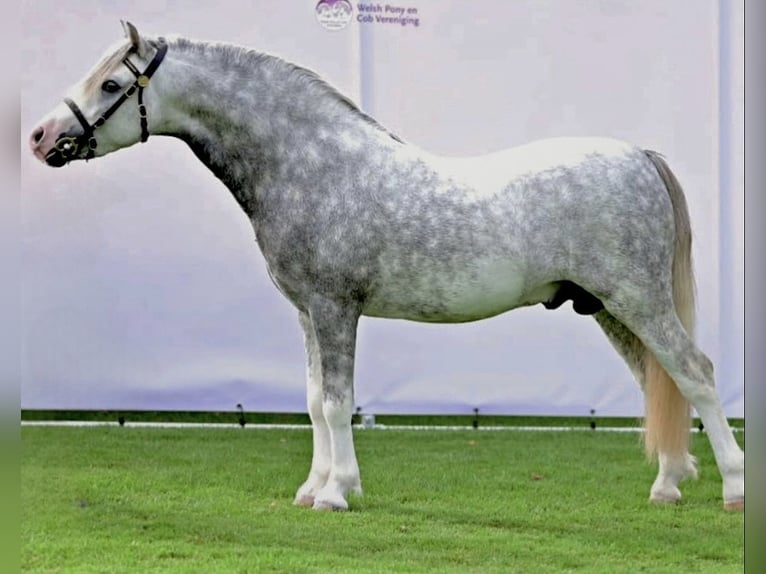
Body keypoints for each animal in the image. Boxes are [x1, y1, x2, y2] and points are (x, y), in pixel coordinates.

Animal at [28, 22, 744, 511]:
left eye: (112, 83)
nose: (39, 138)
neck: (312, 165)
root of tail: (639, 156)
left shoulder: (334, 307)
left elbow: (338, 402)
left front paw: (337, 493)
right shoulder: (307, 314)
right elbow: (314, 401)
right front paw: (313, 488)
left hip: (638, 299)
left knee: (696, 373)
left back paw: (733, 487)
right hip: (610, 309)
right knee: (661, 382)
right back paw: (668, 485)